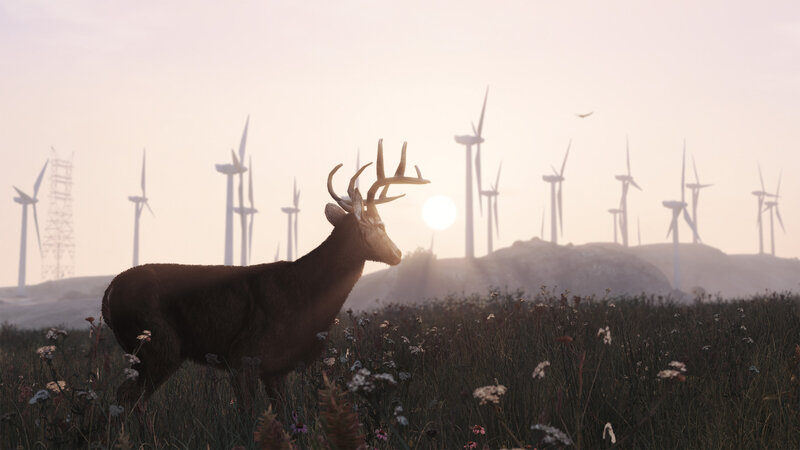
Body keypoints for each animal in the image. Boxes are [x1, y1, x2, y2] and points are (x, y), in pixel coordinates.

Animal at [101, 139, 429, 416]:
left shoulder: (276, 368)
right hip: (157, 343)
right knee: (130, 398)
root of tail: (110, 291)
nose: (398, 253)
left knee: (126, 396)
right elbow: (248, 416)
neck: (304, 293)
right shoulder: (244, 356)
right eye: (381, 225)